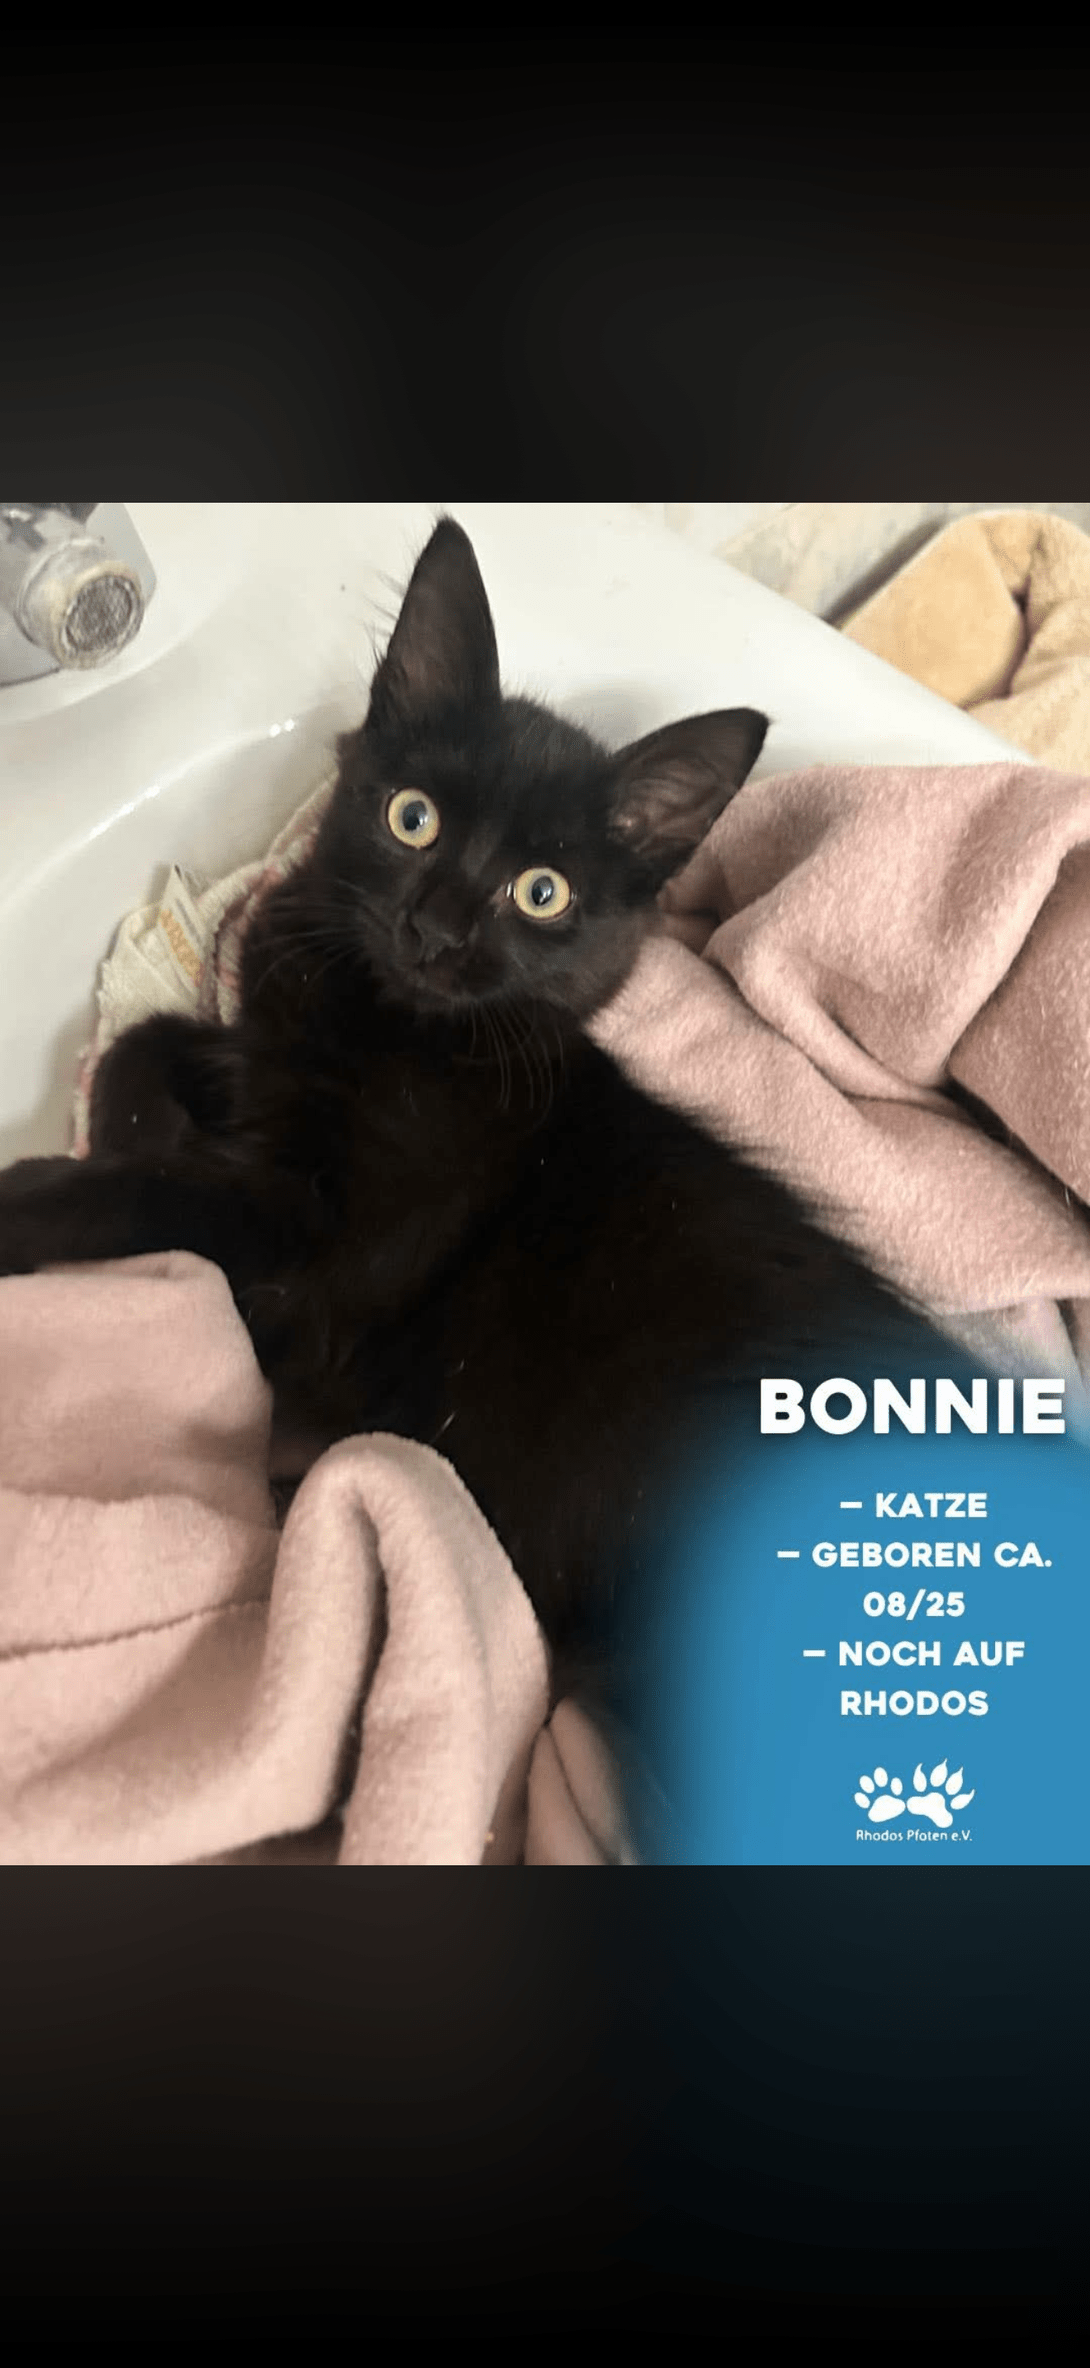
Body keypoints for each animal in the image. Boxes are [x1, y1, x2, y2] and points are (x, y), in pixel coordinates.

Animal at [0, 516, 936, 1757]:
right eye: (414, 818)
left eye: (541, 892)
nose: (434, 930)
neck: (394, 1023)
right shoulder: (268, 1060)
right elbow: (148, 1038)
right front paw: (132, 1112)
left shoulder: (317, 1241)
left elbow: (149, 1191)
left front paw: (54, 1184)